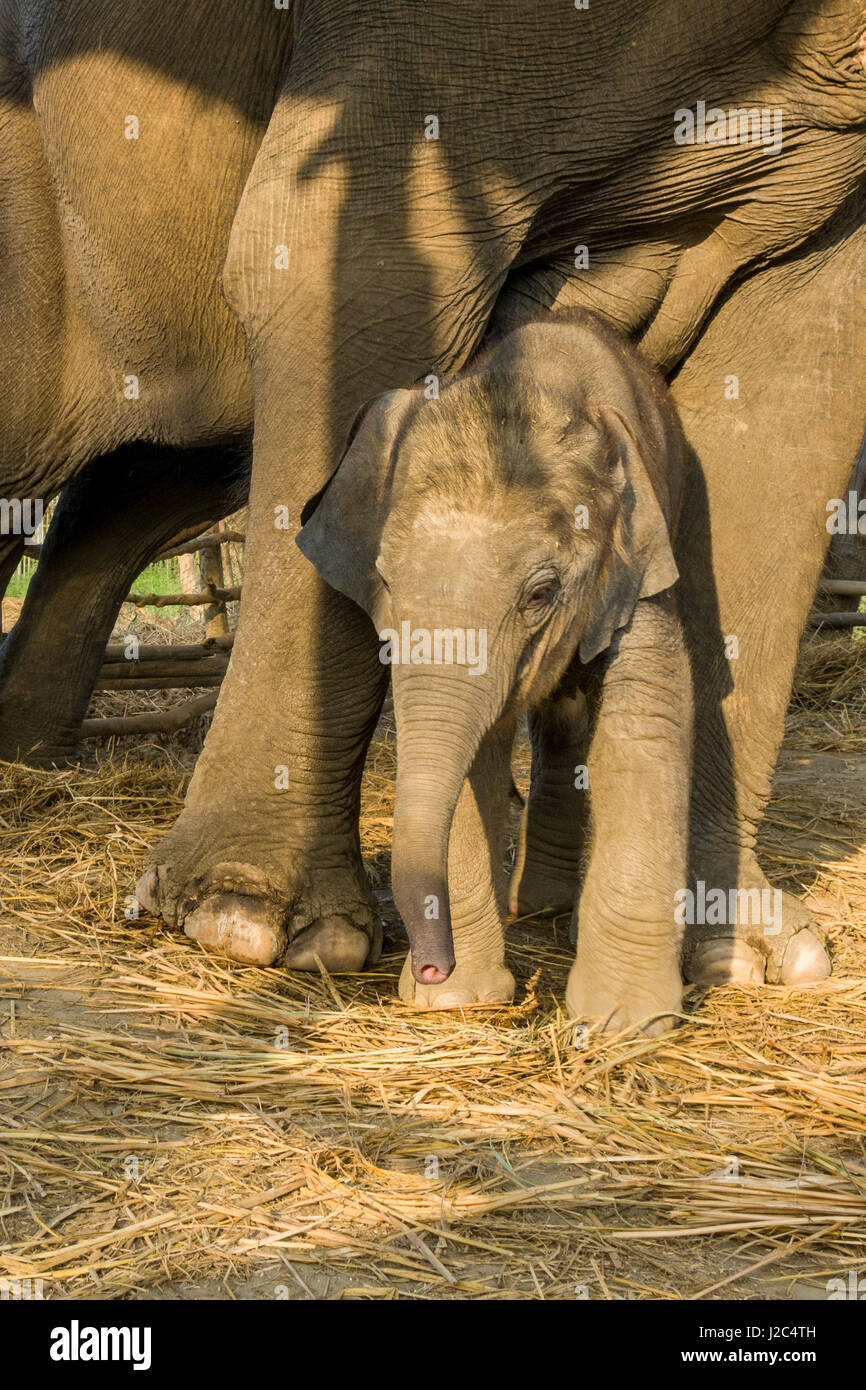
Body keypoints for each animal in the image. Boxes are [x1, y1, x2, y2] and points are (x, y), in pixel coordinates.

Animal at [301, 309, 695, 1039]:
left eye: (541, 593)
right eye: (386, 582)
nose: (431, 966)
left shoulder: (639, 570)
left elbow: (648, 720)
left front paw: (625, 1024)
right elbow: (468, 751)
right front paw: (459, 1001)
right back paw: (535, 910)